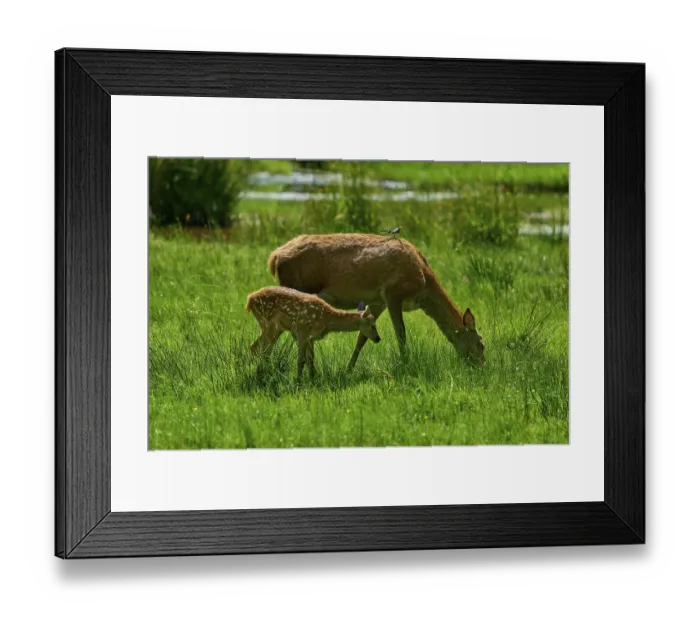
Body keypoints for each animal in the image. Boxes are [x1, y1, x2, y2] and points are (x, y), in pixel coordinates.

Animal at [245, 285, 381, 381]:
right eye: (373, 326)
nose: (378, 338)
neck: (327, 319)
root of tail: (250, 299)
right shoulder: (302, 331)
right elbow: (301, 360)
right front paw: (298, 381)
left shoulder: (311, 337)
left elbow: (310, 359)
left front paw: (313, 378)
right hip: (268, 323)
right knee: (264, 351)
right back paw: (262, 373)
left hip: (276, 328)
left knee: (255, 347)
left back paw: (254, 371)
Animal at [266, 234, 485, 370]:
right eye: (481, 344)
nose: (481, 366)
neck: (424, 283)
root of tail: (274, 257)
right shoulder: (393, 293)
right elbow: (401, 333)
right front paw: (405, 363)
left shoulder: (378, 301)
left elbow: (362, 336)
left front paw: (349, 369)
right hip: (297, 288)